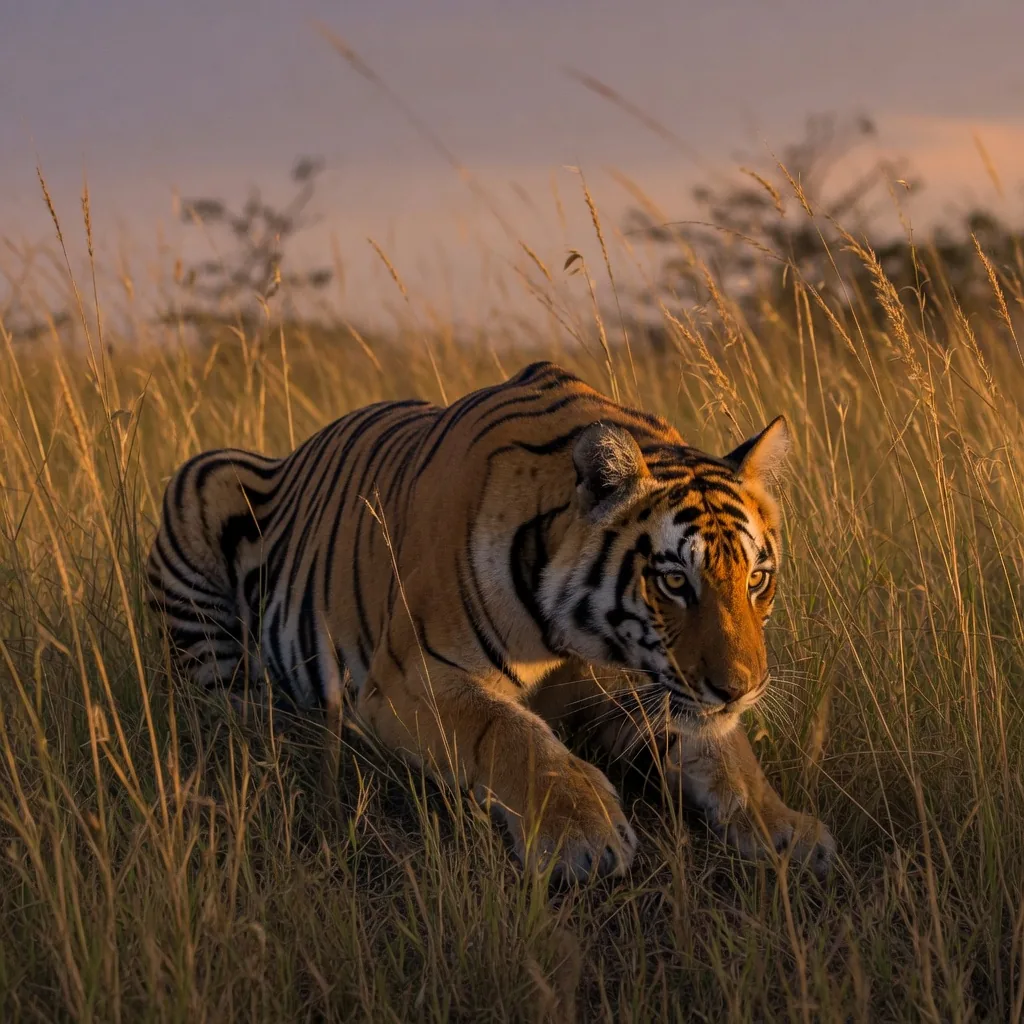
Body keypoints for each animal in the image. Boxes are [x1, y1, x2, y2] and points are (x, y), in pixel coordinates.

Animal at [146, 360, 835, 881]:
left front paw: (788, 829)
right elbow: (511, 733)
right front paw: (584, 832)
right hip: (203, 489)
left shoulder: (643, 692)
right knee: (227, 709)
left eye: (756, 580)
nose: (741, 690)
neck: (579, 642)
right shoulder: (412, 679)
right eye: (673, 582)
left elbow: (727, 752)